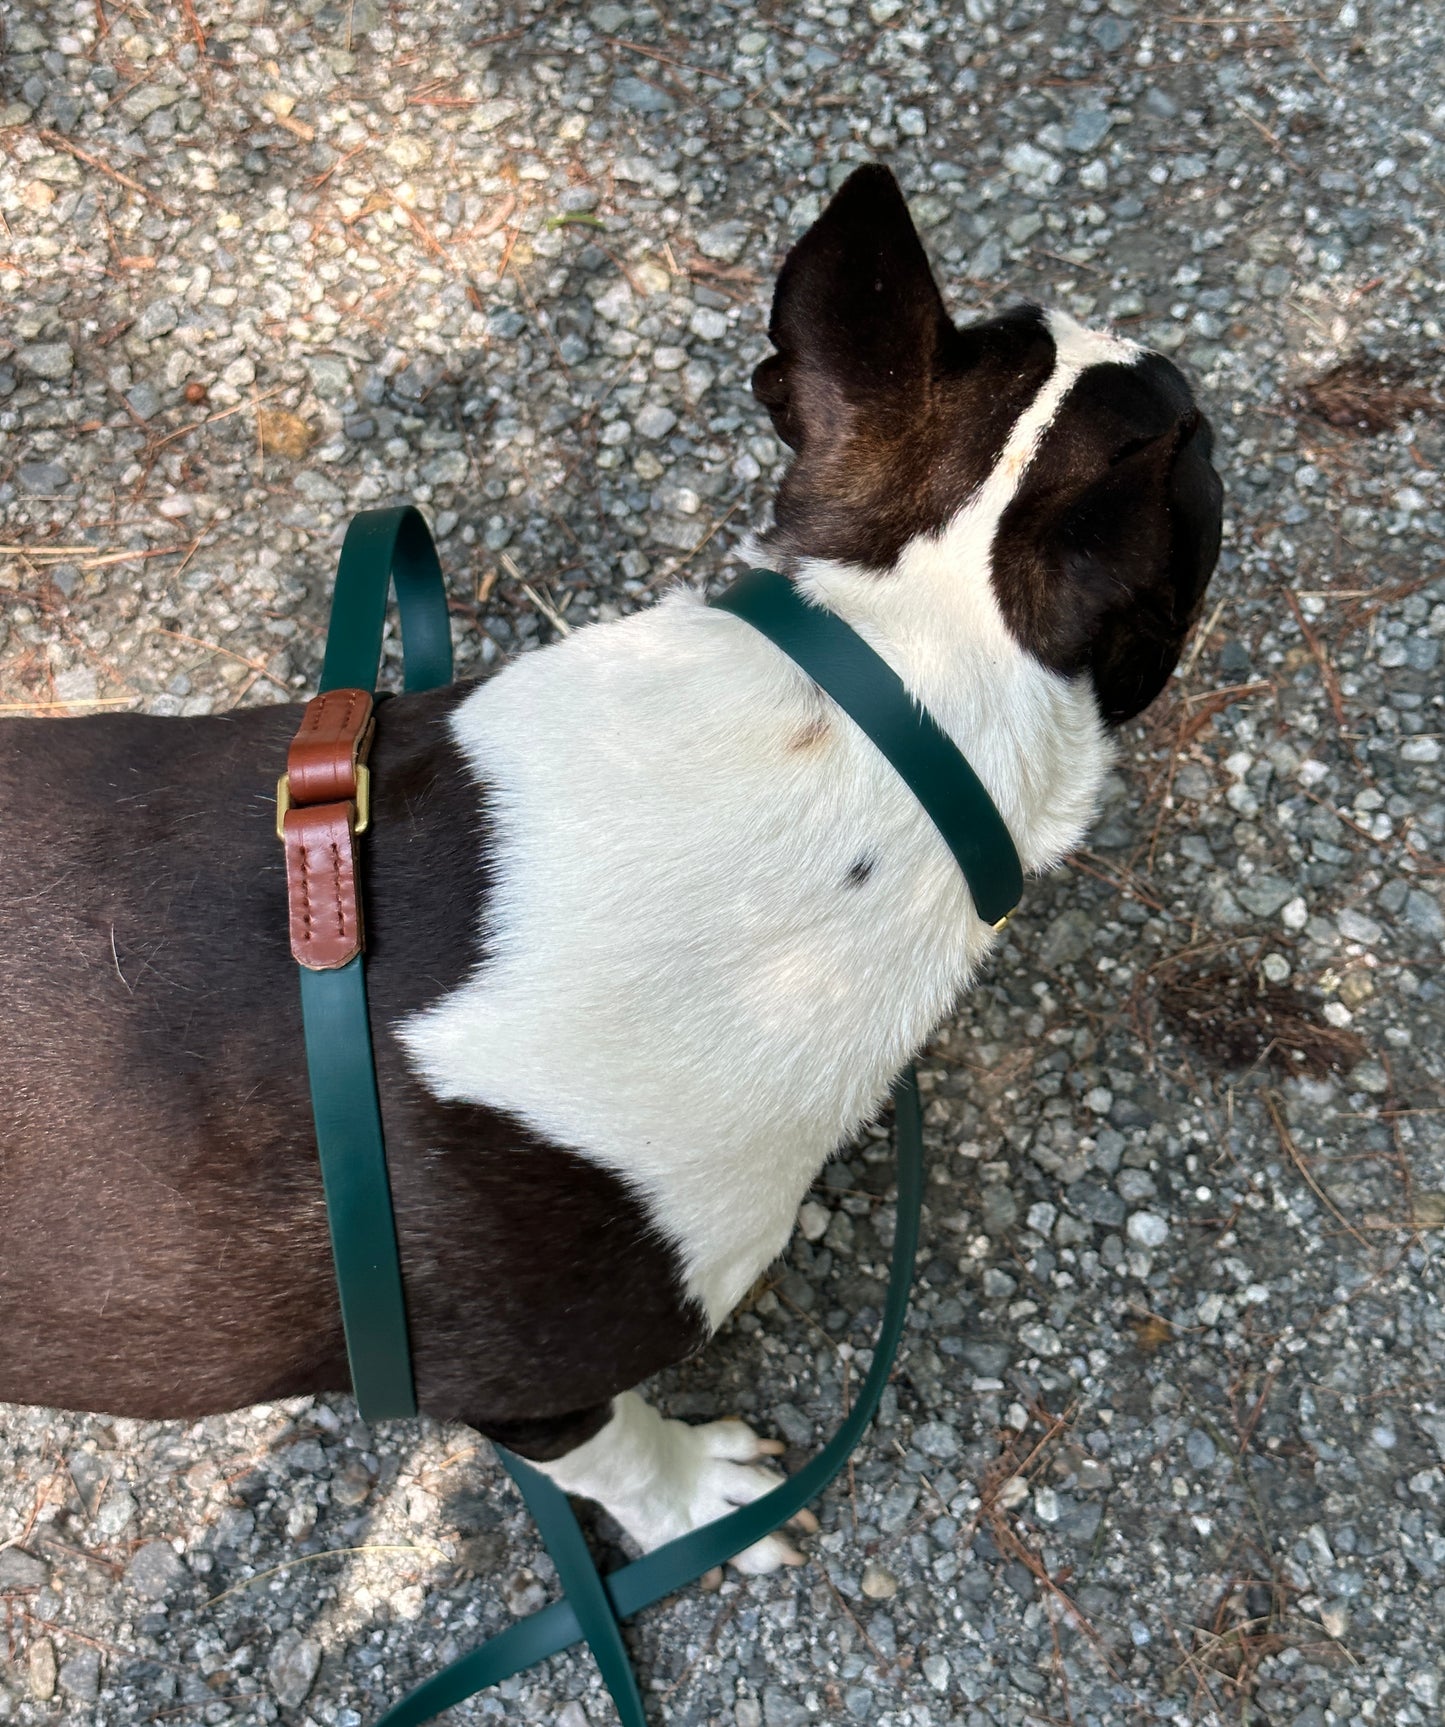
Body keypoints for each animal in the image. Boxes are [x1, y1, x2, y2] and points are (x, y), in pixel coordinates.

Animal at [0, 164, 1215, 1581]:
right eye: (1200, 446)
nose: (1167, 359)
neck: (872, 708)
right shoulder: (524, 1383)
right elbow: (620, 1450)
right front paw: (698, 1499)